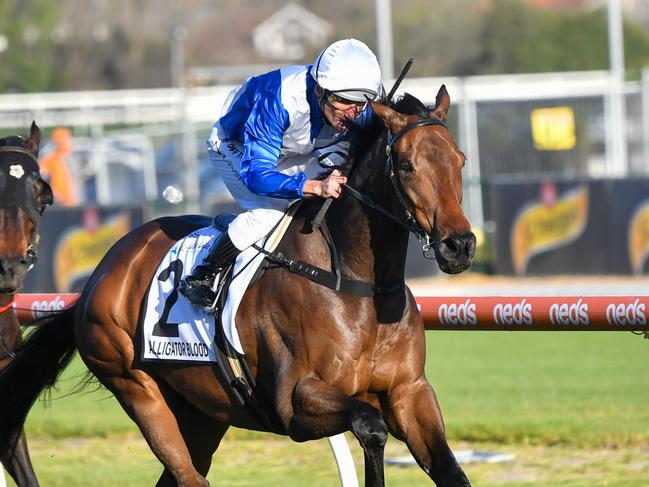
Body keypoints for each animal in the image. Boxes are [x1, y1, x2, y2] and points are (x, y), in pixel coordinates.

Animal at [0, 88, 476, 487]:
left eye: (460, 159)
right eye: (407, 164)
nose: (459, 244)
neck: (358, 286)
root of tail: (103, 272)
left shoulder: (411, 393)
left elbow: (450, 471)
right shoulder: (295, 402)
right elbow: (370, 426)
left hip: (203, 411)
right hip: (136, 387)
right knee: (188, 475)